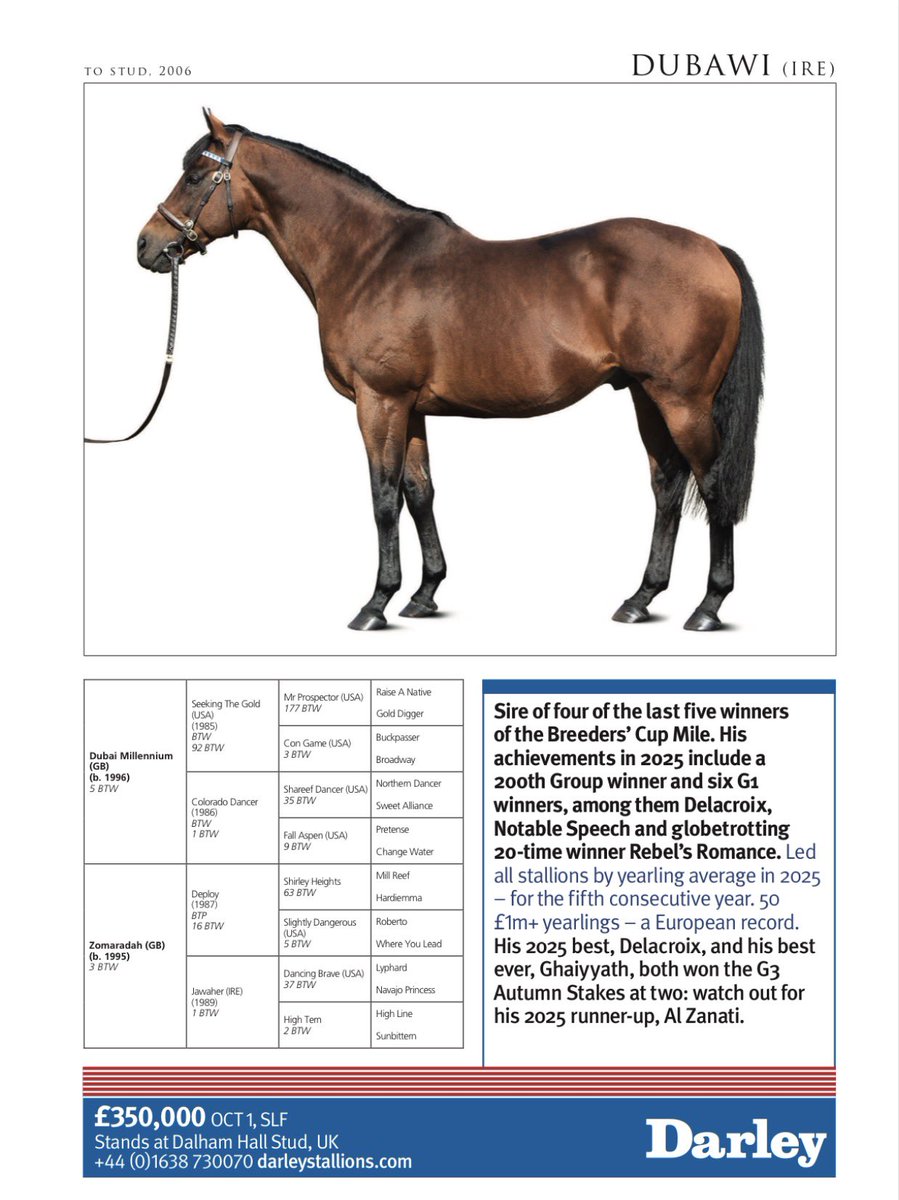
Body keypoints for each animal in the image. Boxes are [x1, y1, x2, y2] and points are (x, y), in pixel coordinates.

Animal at [134, 108, 763, 632]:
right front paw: (423, 595)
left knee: (712, 485)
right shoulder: (410, 408)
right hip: (644, 395)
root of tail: (715, 250)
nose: (146, 245)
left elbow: (383, 497)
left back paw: (708, 607)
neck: (368, 260)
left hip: (681, 400)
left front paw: (375, 604)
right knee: (667, 486)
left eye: (196, 176)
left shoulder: (379, 401)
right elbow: (420, 492)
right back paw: (640, 599)